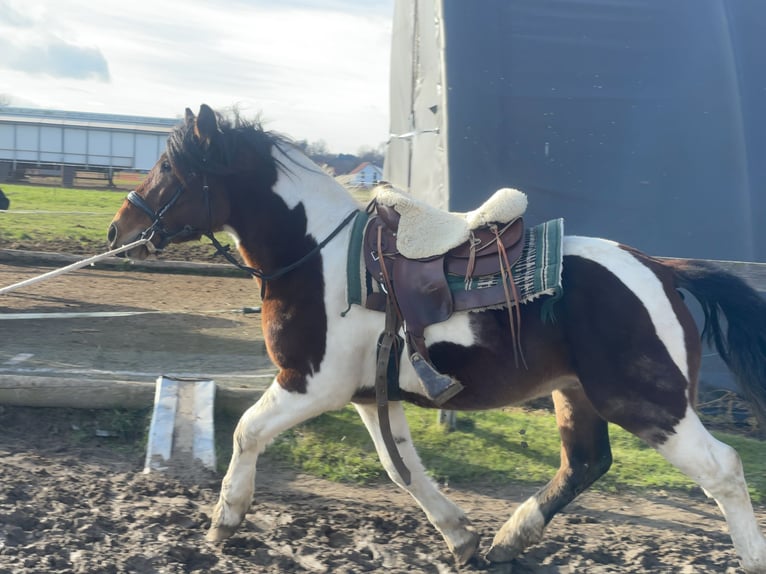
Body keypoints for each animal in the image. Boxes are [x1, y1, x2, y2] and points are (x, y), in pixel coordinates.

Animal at [108, 106, 766, 572]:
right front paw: (462, 537)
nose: (120, 229)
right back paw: (508, 539)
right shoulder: (368, 396)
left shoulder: (309, 385)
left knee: (724, 471)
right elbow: (403, 469)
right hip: (577, 394)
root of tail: (660, 268)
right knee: (585, 463)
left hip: (649, 404)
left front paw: (225, 520)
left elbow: (247, 432)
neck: (318, 256)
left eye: (170, 169)